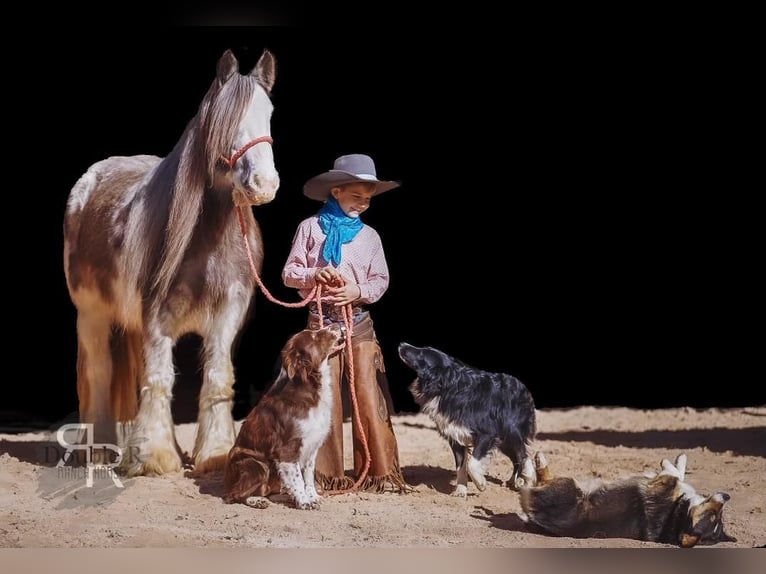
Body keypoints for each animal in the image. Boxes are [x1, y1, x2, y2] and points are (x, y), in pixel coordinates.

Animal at [63, 49, 280, 480]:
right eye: (224, 120)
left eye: (268, 113)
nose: (263, 184)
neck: (205, 237)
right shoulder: (156, 316)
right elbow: (159, 378)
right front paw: (156, 457)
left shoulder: (228, 311)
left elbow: (217, 377)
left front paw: (215, 453)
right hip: (92, 315)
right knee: (99, 373)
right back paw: (100, 450)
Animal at [222, 326, 342, 510]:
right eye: (314, 336)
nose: (335, 326)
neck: (310, 387)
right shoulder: (287, 449)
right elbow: (297, 479)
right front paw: (304, 501)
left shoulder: (312, 445)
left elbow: (308, 475)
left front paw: (312, 496)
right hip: (255, 464)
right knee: (233, 495)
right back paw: (257, 501)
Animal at [400, 342, 536, 500]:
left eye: (422, 354)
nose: (402, 344)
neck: (448, 387)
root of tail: (522, 385)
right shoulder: (456, 437)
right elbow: (460, 467)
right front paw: (460, 490)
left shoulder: (487, 434)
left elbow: (472, 463)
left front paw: (480, 483)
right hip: (504, 441)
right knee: (517, 457)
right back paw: (513, 481)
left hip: (512, 431)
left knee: (523, 454)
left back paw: (527, 480)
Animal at [520, 454, 740, 548]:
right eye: (716, 514)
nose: (727, 496)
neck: (678, 513)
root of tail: (533, 513)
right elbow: (679, 472)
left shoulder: (662, 483)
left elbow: (675, 473)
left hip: (569, 486)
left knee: (536, 480)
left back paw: (532, 464)